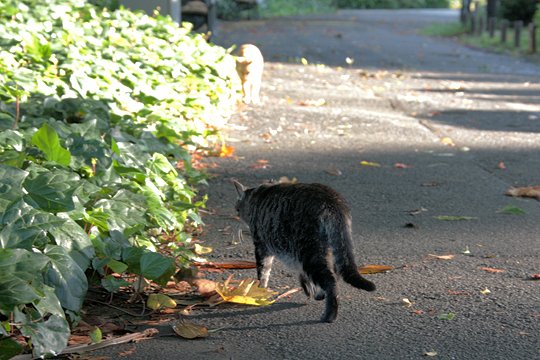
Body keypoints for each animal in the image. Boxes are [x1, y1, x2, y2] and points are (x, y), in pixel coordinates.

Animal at [232, 180, 376, 324]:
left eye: (237, 209)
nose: (236, 215)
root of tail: (331, 200)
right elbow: (303, 276)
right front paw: (312, 290)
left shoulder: (262, 246)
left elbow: (263, 272)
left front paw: (260, 291)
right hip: (329, 248)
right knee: (335, 273)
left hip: (309, 252)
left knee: (331, 282)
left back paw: (330, 314)